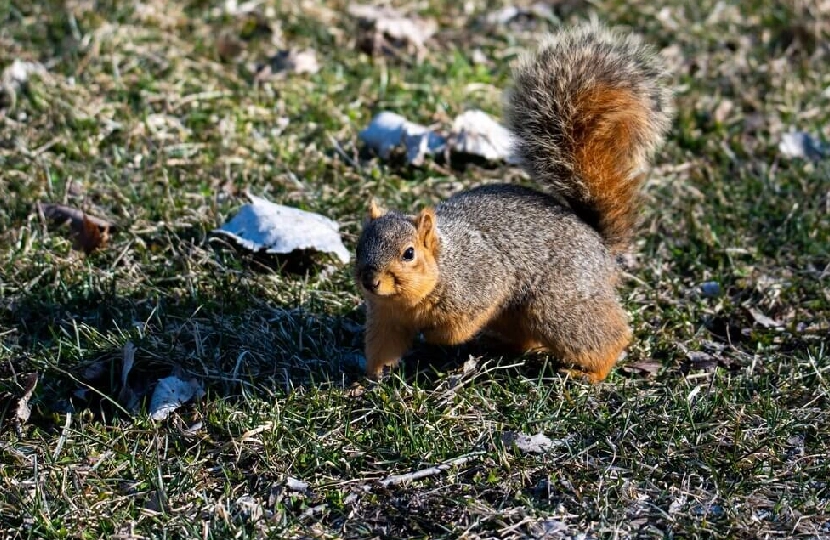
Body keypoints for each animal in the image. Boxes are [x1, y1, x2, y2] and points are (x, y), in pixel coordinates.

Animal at [354, 22, 673, 383]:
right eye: (359, 245)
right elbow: (383, 345)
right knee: (528, 340)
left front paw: (433, 337)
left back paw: (590, 372)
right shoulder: (386, 317)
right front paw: (369, 377)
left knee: (607, 337)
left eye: (409, 254)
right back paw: (499, 345)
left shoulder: (482, 282)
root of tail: (600, 244)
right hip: (521, 315)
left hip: (557, 304)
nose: (369, 281)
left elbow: (457, 327)